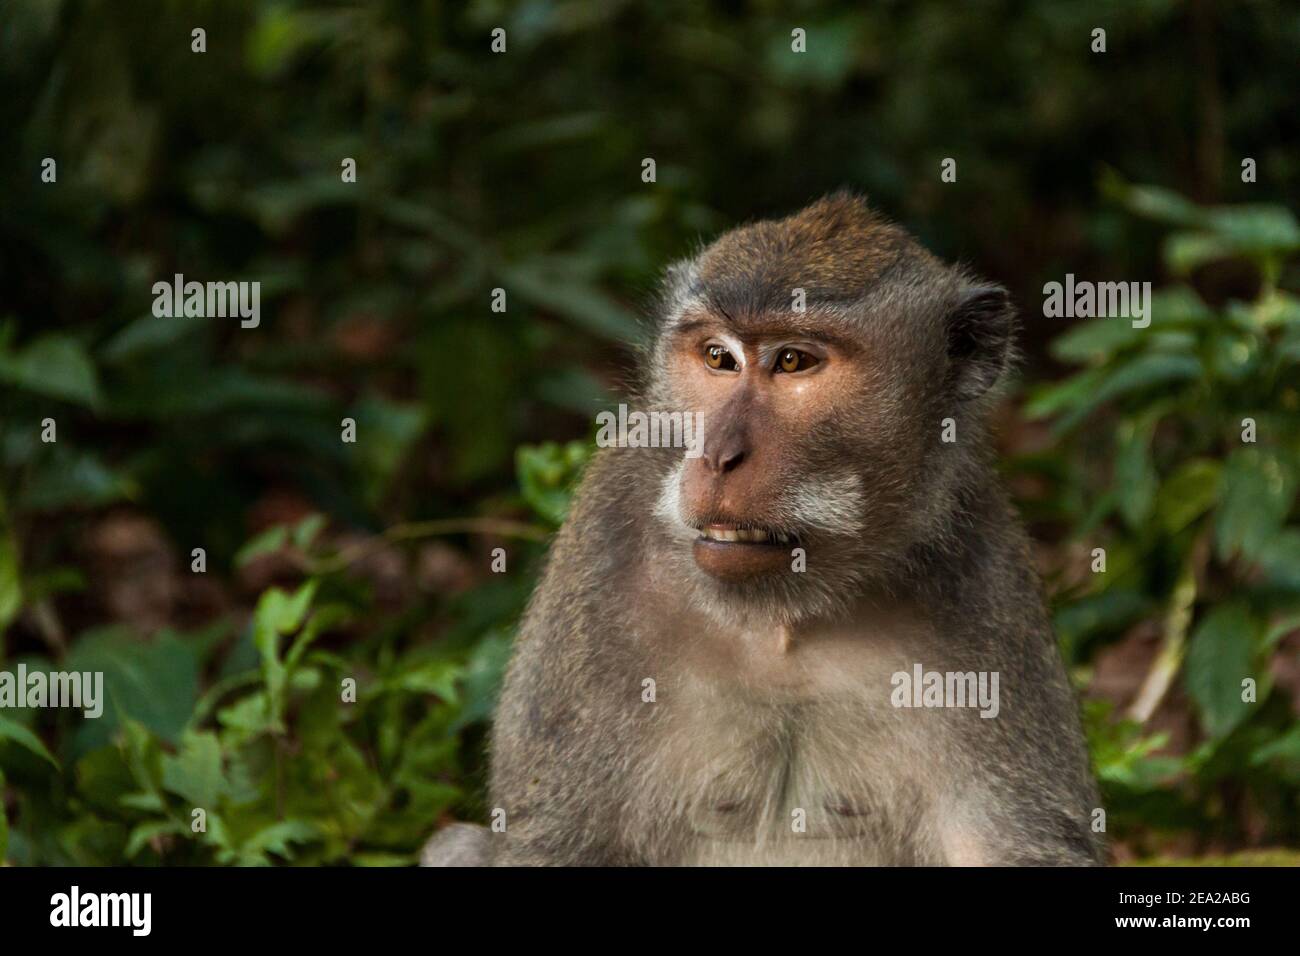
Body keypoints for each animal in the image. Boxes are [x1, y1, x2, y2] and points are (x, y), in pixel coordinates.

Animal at [422, 192, 1104, 866]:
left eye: (793, 361)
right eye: (718, 358)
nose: (718, 456)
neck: (783, 616)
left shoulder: (985, 575)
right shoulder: (603, 547)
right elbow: (552, 838)